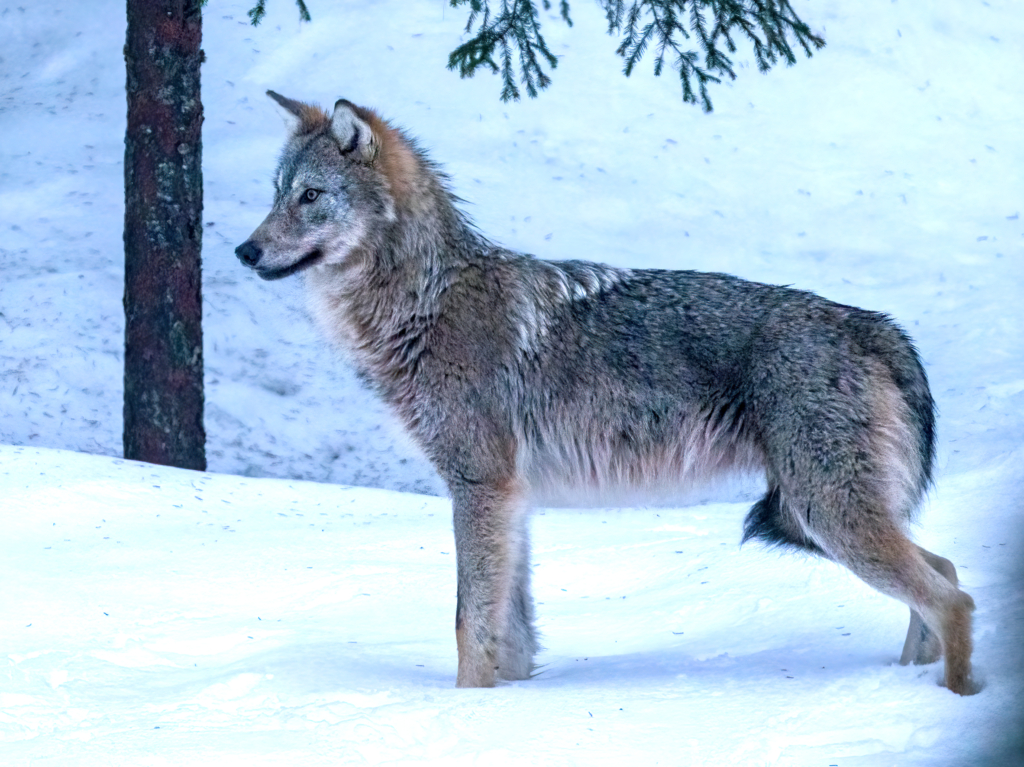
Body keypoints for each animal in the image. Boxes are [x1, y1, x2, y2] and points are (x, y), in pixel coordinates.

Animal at [237, 91, 974, 692]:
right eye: (275, 191)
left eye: (310, 196)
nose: (245, 251)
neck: (423, 303)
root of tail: (877, 327)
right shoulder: (513, 501)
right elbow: (510, 633)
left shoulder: (479, 489)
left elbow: (468, 623)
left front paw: (463, 712)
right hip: (818, 516)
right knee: (945, 570)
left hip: (826, 513)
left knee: (951, 597)